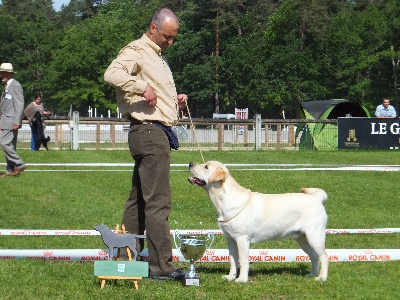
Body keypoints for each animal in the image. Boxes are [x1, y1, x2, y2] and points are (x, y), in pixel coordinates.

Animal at [188, 161, 328, 282]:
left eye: (206, 167)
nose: (190, 163)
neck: (224, 200)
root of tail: (316, 199)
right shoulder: (230, 240)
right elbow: (232, 260)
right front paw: (230, 277)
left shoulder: (242, 238)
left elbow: (243, 260)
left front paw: (241, 279)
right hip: (302, 238)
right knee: (314, 256)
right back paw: (312, 275)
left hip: (315, 236)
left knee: (324, 257)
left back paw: (322, 278)